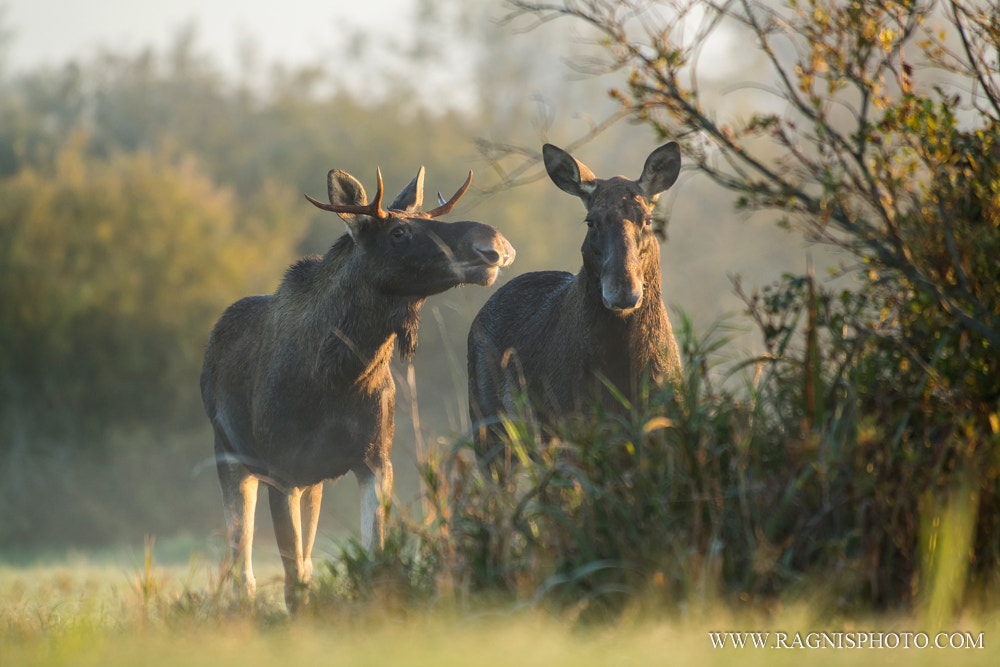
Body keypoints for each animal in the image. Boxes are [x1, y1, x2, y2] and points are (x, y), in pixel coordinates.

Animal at [201, 165, 515, 612]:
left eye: (428, 219)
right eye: (398, 232)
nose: (493, 244)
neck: (338, 379)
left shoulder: (375, 461)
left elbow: (371, 557)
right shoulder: (282, 468)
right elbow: (290, 578)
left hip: (311, 480)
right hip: (229, 455)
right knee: (241, 566)